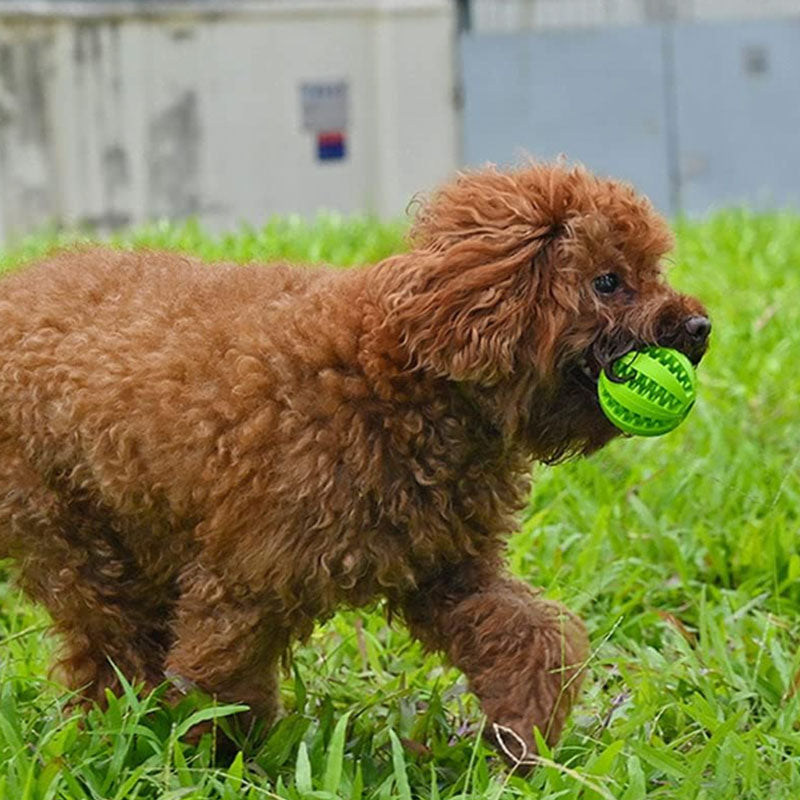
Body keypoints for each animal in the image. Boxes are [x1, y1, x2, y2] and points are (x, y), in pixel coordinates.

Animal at [0, 162, 712, 764]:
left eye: (653, 271)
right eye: (608, 281)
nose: (700, 328)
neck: (400, 372)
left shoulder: (446, 565)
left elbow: (530, 639)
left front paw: (517, 743)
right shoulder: (243, 579)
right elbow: (218, 678)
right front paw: (219, 761)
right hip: (68, 526)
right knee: (108, 637)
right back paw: (117, 732)